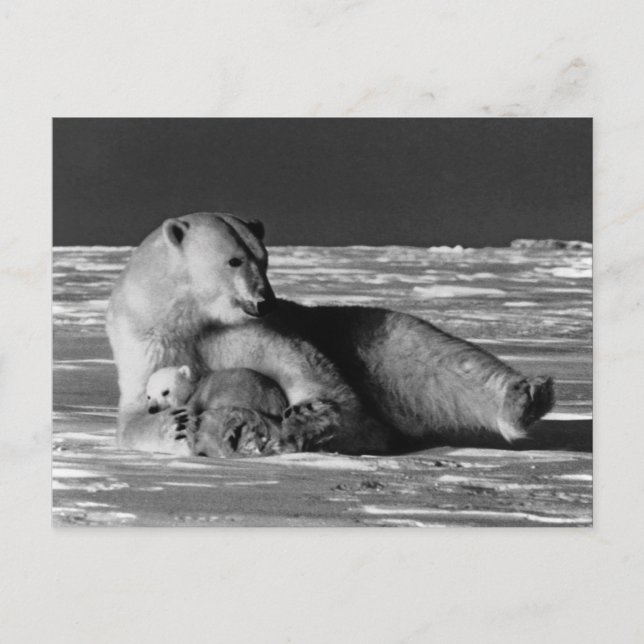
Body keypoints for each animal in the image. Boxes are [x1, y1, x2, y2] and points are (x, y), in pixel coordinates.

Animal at [145, 365, 294, 457]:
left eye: (165, 392)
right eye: (148, 396)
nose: (152, 409)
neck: (195, 387)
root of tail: (275, 397)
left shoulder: (199, 400)